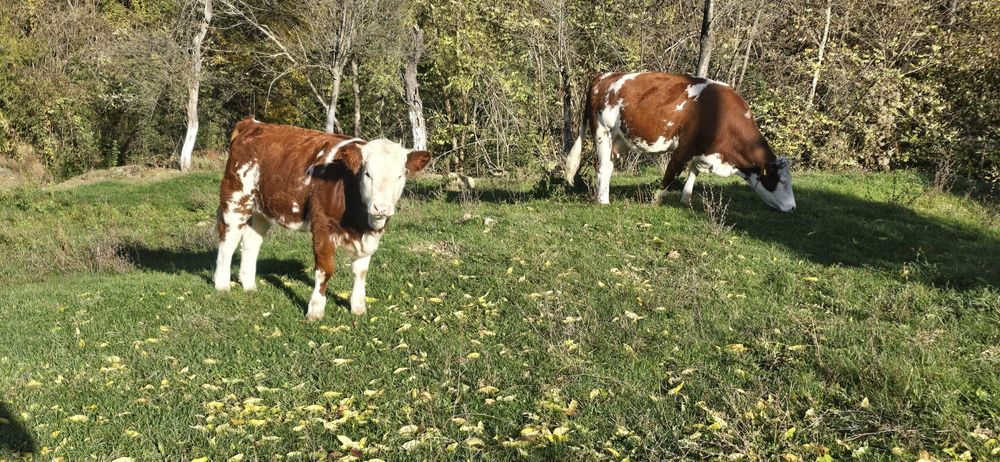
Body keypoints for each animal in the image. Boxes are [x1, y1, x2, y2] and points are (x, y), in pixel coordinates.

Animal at [214, 118, 431, 320]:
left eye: (400, 176)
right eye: (367, 174)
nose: (381, 208)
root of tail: (252, 123)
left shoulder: (369, 235)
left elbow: (361, 271)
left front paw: (358, 307)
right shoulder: (322, 224)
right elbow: (325, 269)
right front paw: (315, 310)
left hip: (262, 208)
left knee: (251, 243)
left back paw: (249, 285)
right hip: (236, 199)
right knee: (228, 240)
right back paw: (222, 284)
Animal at [564, 72, 796, 212]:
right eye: (782, 181)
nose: (793, 207)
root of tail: (604, 77)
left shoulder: (702, 150)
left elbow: (694, 172)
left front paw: (686, 199)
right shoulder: (684, 148)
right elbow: (671, 174)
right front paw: (656, 201)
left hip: (618, 139)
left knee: (609, 165)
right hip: (602, 131)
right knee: (602, 165)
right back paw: (603, 200)